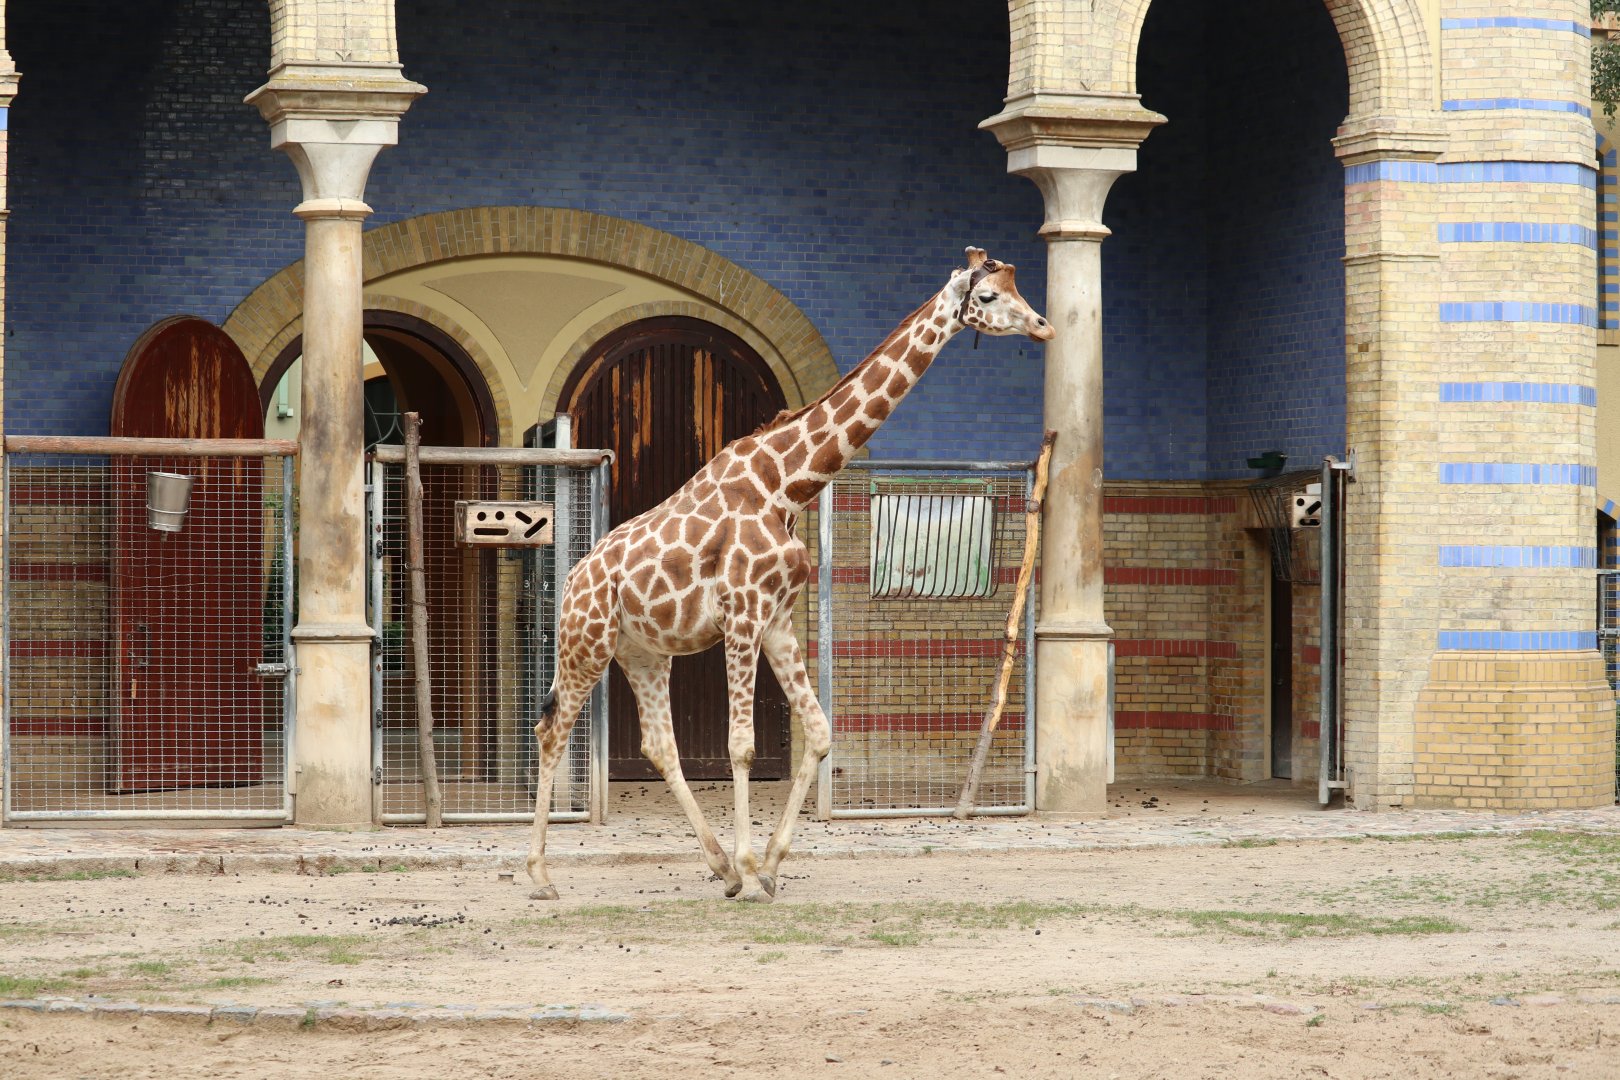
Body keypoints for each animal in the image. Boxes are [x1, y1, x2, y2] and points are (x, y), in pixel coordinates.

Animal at [527, 247, 1055, 903]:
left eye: (1018, 288)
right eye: (986, 297)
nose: (1044, 327)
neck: (787, 485)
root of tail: (574, 579)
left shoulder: (777, 620)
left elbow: (822, 733)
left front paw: (769, 865)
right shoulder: (743, 614)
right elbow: (742, 746)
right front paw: (754, 872)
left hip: (643, 651)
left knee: (659, 743)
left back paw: (719, 867)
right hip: (587, 643)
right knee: (551, 730)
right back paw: (541, 875)